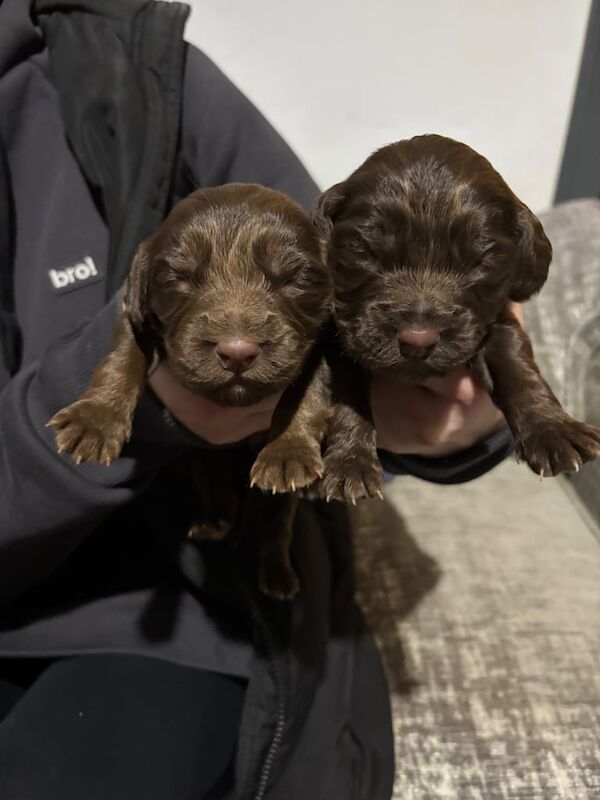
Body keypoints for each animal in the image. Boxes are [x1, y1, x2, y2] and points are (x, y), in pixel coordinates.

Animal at [48, 184, 332, 600]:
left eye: (293, 277)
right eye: (179, 277)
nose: (237, 351)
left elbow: (307, 391)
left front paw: (288, 449)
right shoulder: (133, 312)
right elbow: (122, 354)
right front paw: (95, 420)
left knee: (278, 518)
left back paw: (278, 572)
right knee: (212, 480)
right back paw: (215, 521)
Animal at [312, 137, 600, 500]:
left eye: (480, 262)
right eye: (366, 253)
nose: (417, 341)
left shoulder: (497, 321)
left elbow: (517, 367)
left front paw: (552, 428)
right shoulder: (342, 336)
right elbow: (348, 396)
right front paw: (350, 461)